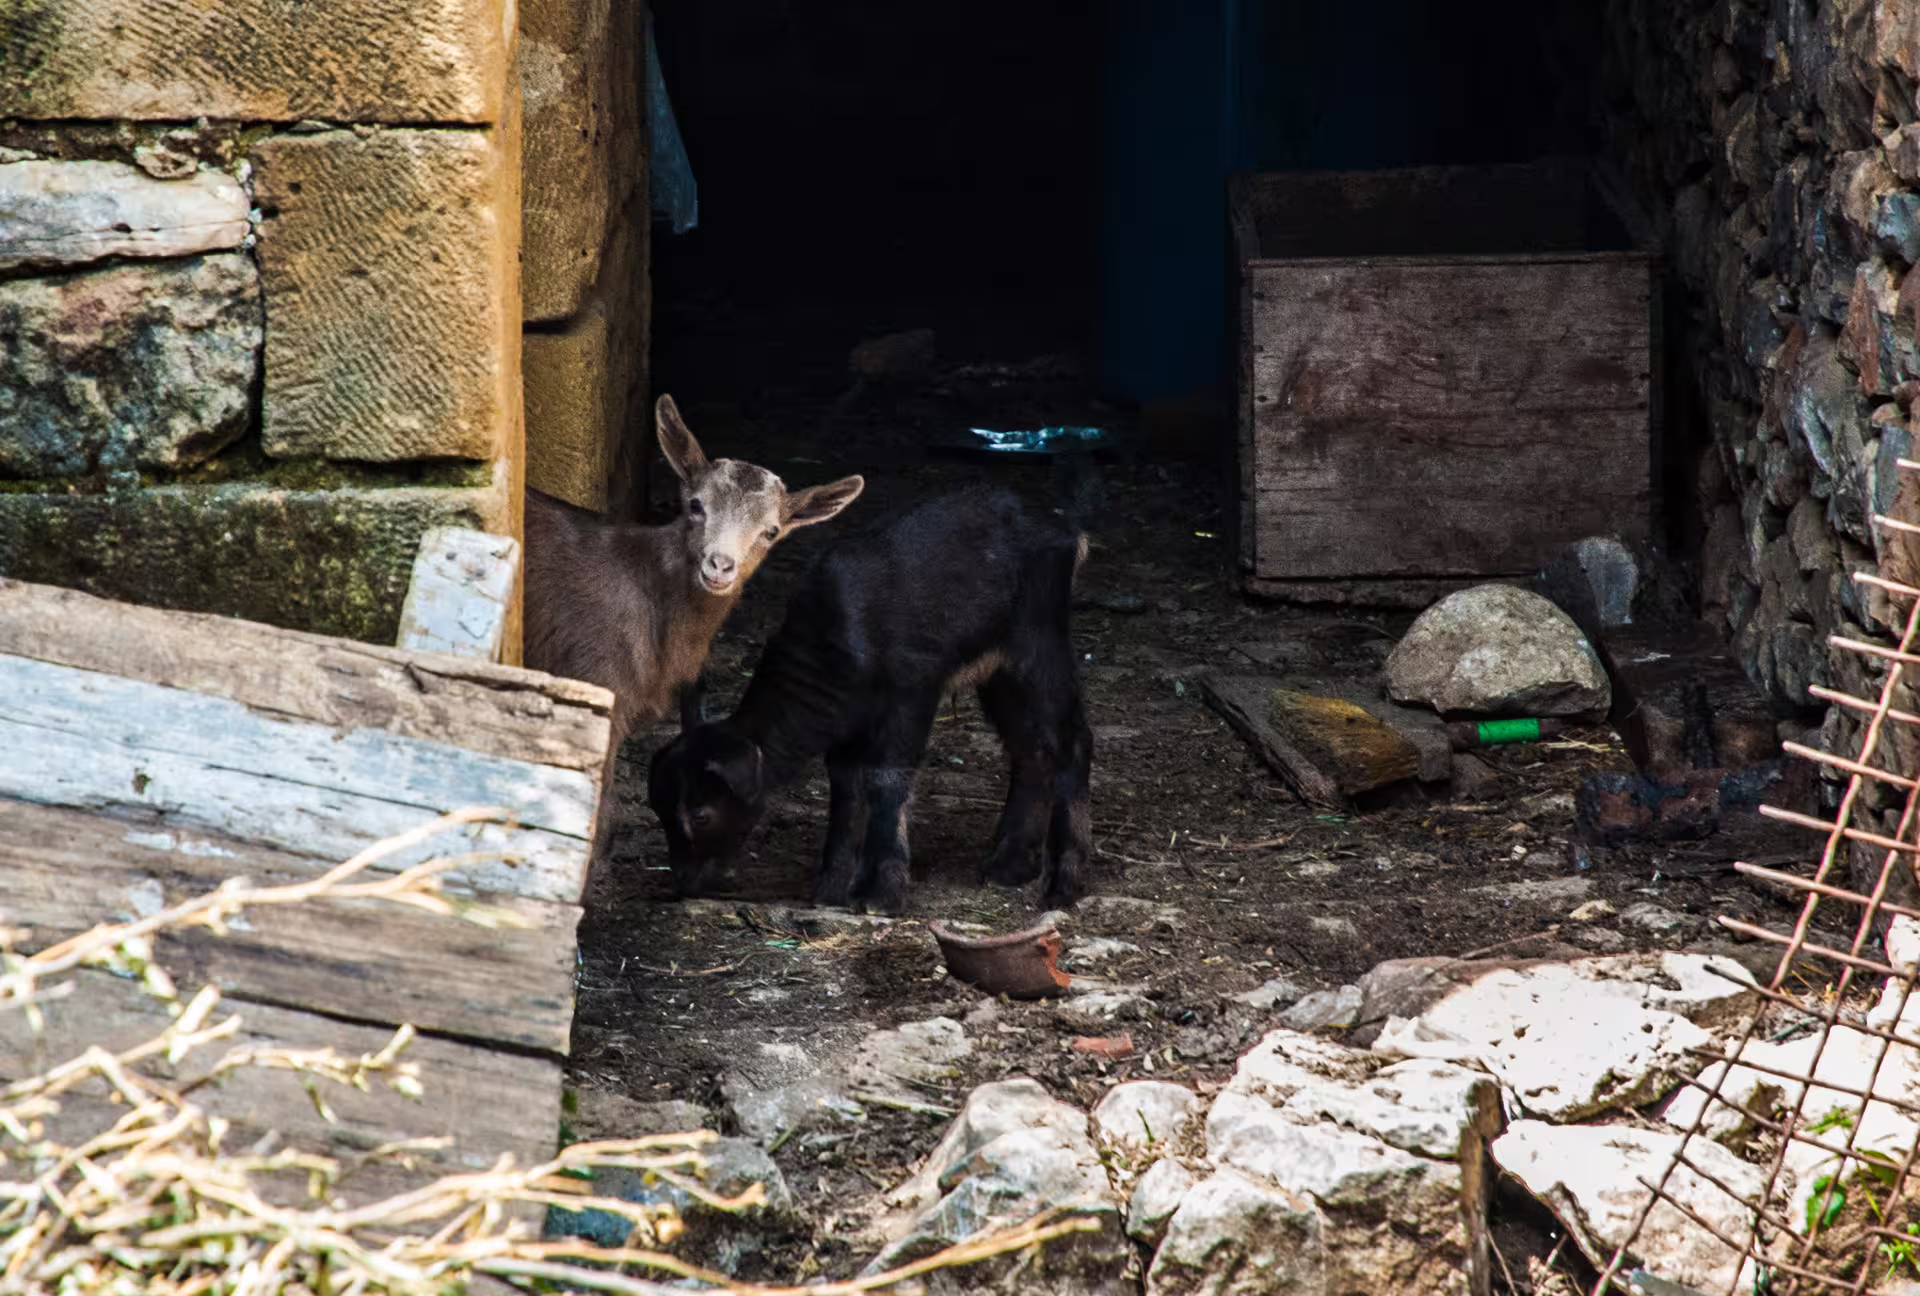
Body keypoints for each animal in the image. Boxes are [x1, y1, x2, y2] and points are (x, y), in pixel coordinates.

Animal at [646, 482, 1094, 915]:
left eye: (700, 814)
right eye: (658, 808)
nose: (683, 882)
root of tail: (1067, 530)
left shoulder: (913, 690)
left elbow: (887, 778)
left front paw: (881, 894)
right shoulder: (848, 723)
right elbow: (847, 787)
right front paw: (832, 888)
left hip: (1037, 642)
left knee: (1072, 739)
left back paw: (1062, 884)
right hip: (997, 669)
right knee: (1029, 748)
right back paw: (1007, 866)